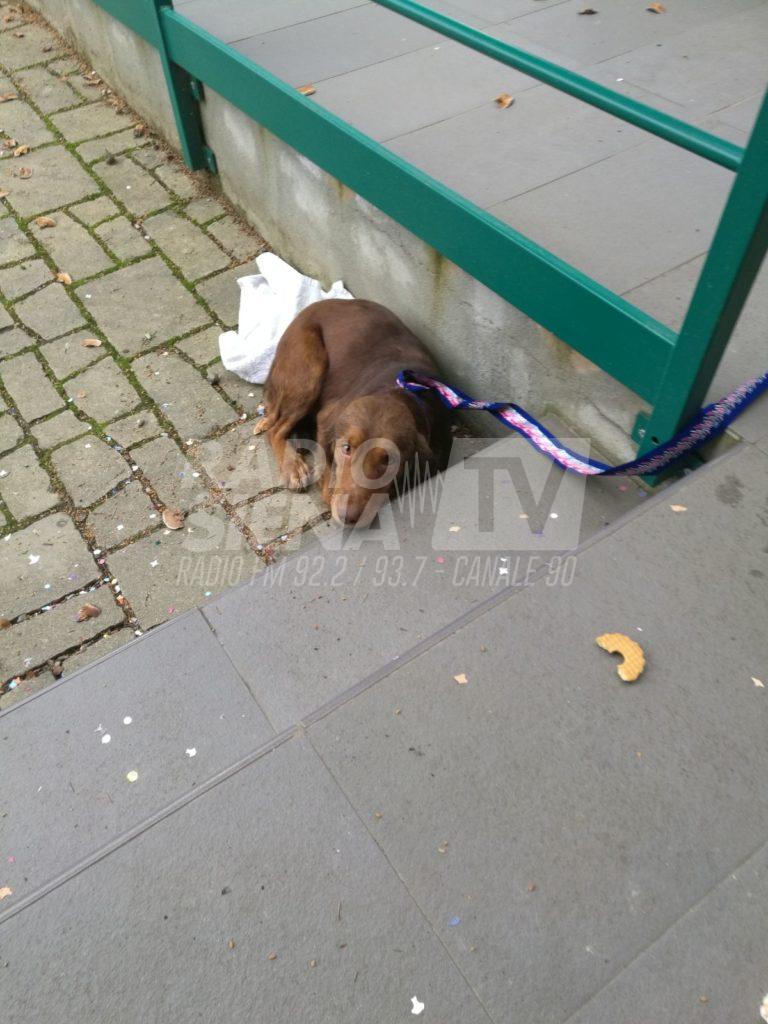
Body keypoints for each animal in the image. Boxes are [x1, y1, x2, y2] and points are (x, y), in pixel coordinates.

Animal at [257, 294, 450, 520]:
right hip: (309, 370)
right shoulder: (326, 419)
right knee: (274, 430)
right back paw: (293, 467)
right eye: (346, 448)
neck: (400, 390)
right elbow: (327, 468)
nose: (347, 516)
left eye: (390, 460)